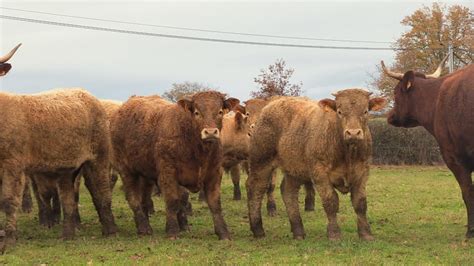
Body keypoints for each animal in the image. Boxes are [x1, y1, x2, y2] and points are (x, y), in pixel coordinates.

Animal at [110, 91, 237, 239]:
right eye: (196, 112)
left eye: (220, 111)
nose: (210, 132)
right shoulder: (168, 173)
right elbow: (172, 201)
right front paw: (172, 231)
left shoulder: (214, 173)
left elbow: (214, 203)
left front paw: (223, 233)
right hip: (126, 170)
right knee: (133, 198)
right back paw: (144, 228)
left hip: (145, 174)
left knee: (144, 198)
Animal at [246, 90, 386, 241]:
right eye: (339, 111)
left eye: (365, 111)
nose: (353, 133)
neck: (347, 154)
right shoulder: (320, 173)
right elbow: (331, 202)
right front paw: (334, 234)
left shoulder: (362, 171)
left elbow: (360, 203)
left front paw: (366, 234)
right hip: (261, 161)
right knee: (256, 188)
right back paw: (258, 230)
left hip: (294, 168)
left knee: (288, 191)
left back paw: (298, 231)